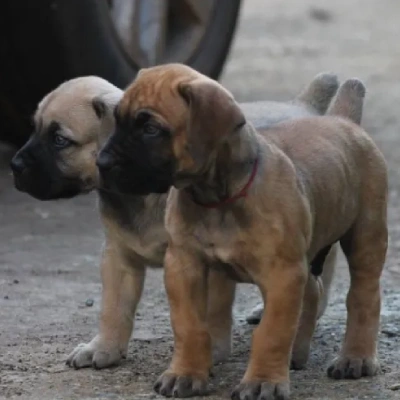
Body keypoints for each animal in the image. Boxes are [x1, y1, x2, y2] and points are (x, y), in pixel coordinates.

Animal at [10, 73, 340, 370]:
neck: (140, 195)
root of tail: (304, 104)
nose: (14, 165)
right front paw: (103, 348)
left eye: (59, 140)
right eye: (34, 128)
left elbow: (211, 311)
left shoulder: (207, 261)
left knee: (318, 279)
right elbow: (114, 309)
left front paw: (210, 350)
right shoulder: (119, 258)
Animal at [98, 64, 390, 398]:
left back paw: (356, 357)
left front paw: (263, 381)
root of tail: (343, 120)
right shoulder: (184, 267)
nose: (101, 162)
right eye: (116, 120)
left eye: (150, 129)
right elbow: (189, 325)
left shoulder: (281, 273)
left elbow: (272, 331)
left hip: (366, 237)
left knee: (363, 296)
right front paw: (185, 373)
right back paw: (298, 352)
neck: (216, 198)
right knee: (313, 292)